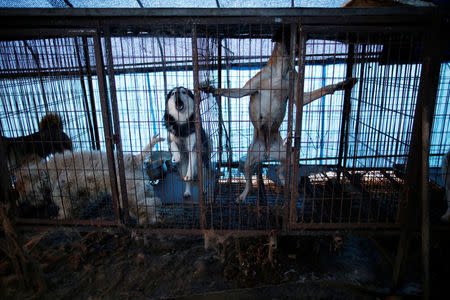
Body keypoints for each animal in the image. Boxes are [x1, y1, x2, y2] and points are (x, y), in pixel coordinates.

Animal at [14, 135, 164, 224]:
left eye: (20, 187)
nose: (18, 201)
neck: (47, 171)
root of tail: (135, 159)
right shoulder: (78, 193)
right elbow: (76, 205)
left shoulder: (62, 193)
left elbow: (65, 209)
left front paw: (61, 217)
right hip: (141, 189)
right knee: (152, 202)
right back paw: (154, 217)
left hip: (129, 196)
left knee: (148, 203)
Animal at [202, 29, 356, 203]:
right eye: (289, 36)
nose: (303, 44)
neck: (281, 71)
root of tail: (267, 153)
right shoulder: (247, 89)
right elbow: (228, 91)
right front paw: (212, 89)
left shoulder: (299, 96)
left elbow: (323, 89)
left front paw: (341, 84)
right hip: (249, 161)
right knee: (250, 181)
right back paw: (243, 195)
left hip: (287, 155)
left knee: (278, 168)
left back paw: (286, 184)